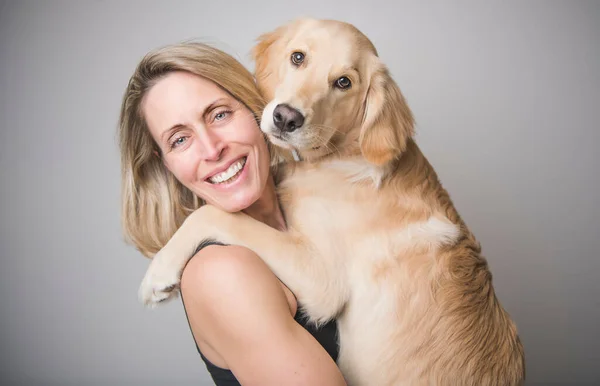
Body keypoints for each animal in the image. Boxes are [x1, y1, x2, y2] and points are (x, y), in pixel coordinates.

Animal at [138, 16, 524, 384]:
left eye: (343, 82)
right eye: (298, 57)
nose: (285, 118)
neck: (341, 154)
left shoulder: (323, 280)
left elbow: (218, 216)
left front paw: (159, 272)